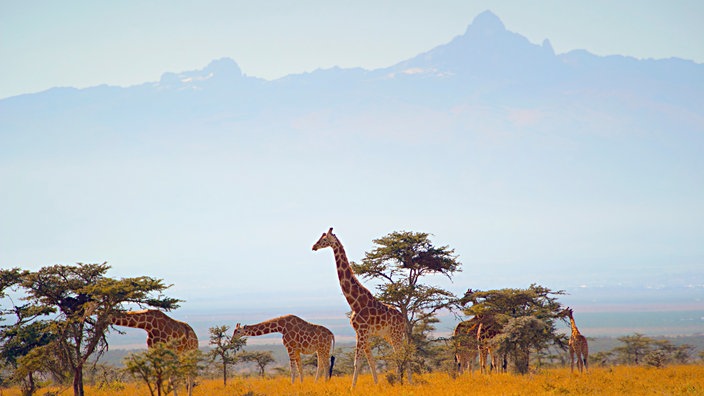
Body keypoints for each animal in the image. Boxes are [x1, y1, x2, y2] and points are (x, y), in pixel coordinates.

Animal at [312, 227, 410, 388]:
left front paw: (352, 388)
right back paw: (404, 382)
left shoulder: (362, 332)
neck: (354, 302)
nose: (314, 246)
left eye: (324, 239)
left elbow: (357, 362)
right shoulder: (361, 333)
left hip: (395, 334)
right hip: (390, 335)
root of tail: (403, 318)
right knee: (401, 354)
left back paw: (403, 383)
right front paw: (376, 384)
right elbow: (370, 361)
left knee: (401, 355)